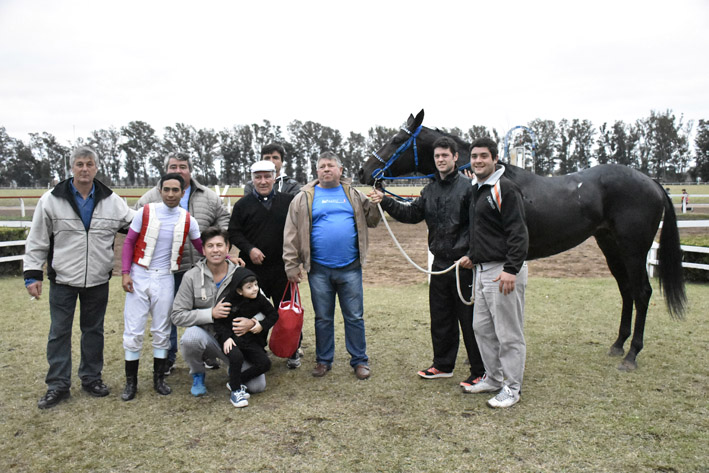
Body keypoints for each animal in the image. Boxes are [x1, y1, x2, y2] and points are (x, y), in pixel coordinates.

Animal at [360, 109, 684, 368]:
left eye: (396, 140)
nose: (365, 171)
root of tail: (652, 182)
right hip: (610, 246)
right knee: (626, 290)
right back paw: (618, 345)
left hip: (633, 250)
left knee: (642, 292)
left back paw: (632, 354)